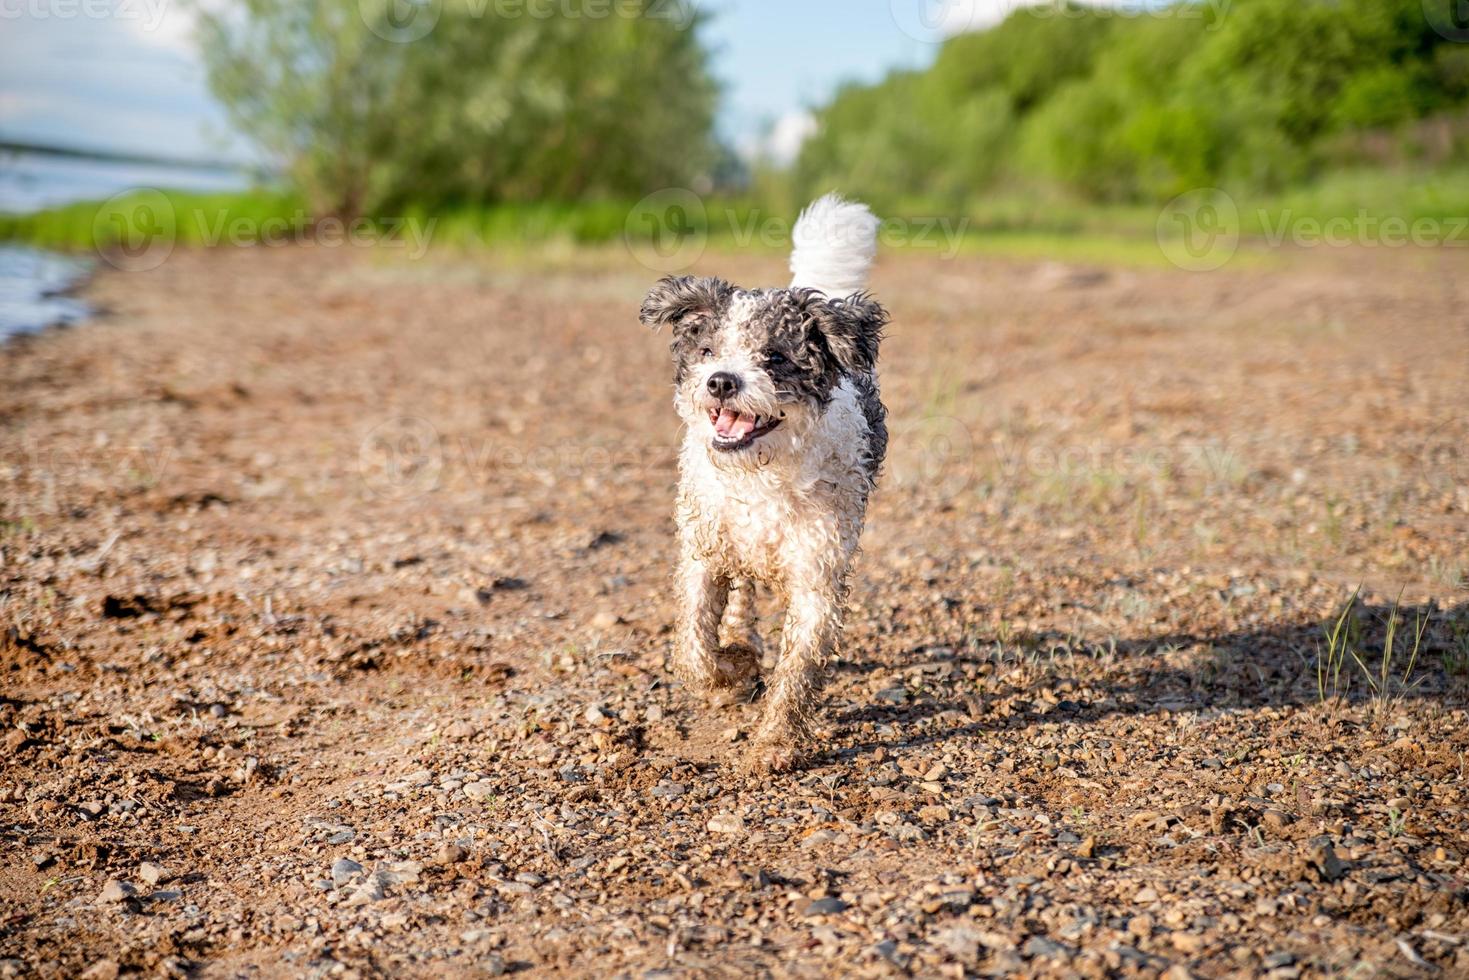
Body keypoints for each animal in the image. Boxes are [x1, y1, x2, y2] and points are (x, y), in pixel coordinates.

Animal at [640, 193, 887, 775]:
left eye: (774, 357)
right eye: (708, 351)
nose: (721, 382)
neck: (762, 476)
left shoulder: (818, 574)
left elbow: (797, 670)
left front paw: (775, 743)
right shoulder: (703, 552)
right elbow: (693, 650)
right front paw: (732, 668)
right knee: (741, 594)